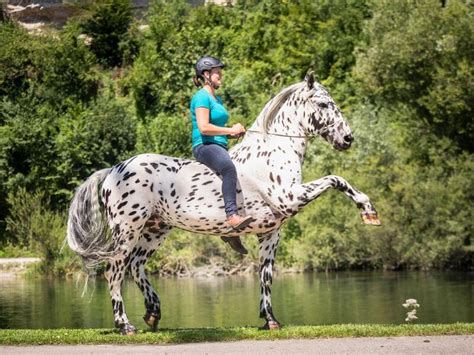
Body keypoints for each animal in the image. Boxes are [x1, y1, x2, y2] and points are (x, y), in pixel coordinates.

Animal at [65, 73, 382, 336]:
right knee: (114, 271)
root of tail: (114, 170)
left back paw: (153, 311)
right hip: (128, 229)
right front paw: (368, 211)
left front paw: (270, 320)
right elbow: (336, 179)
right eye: (325, 104)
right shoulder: (291, 197)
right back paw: (125, 325)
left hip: (156, 230)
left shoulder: (271, 232)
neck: (274, 149)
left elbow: (266, 275)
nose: (348, 138)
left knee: (136, 266)